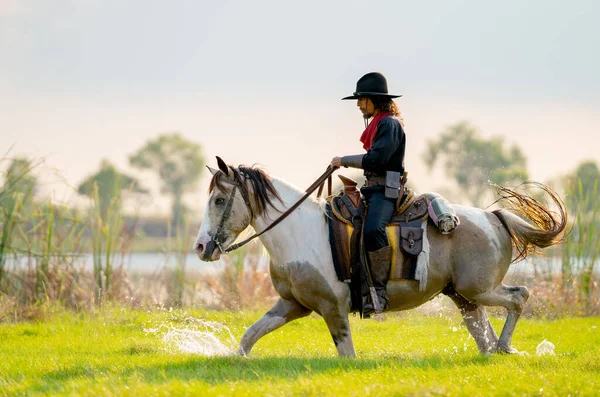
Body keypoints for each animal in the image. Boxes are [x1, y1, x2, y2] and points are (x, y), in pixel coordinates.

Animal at [193, 158, 568, 356]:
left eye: (219, 200)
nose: (200, 247)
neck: (299, 233)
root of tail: (493, 217)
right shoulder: (292, 304)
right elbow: (249, 336)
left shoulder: (332, 307)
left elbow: (347, 354)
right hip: (464, 297)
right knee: (483, 333)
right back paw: (498, 350)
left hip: (480, 288)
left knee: (519, 296)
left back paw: (506, 346)